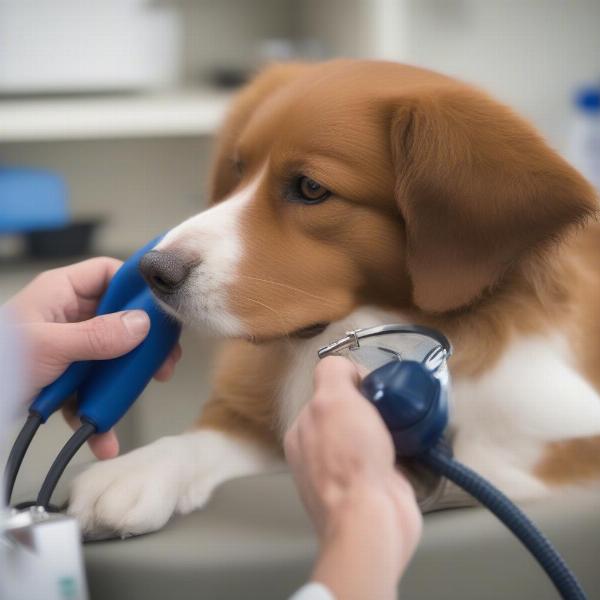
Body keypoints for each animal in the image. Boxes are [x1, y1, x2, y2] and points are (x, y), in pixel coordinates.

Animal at [69, 61, 600, 536]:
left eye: (310, 187)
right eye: (239, 171)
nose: (152, 270)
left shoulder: (560, 430)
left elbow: (492, 451)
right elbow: (212, 434)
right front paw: (138, 468)